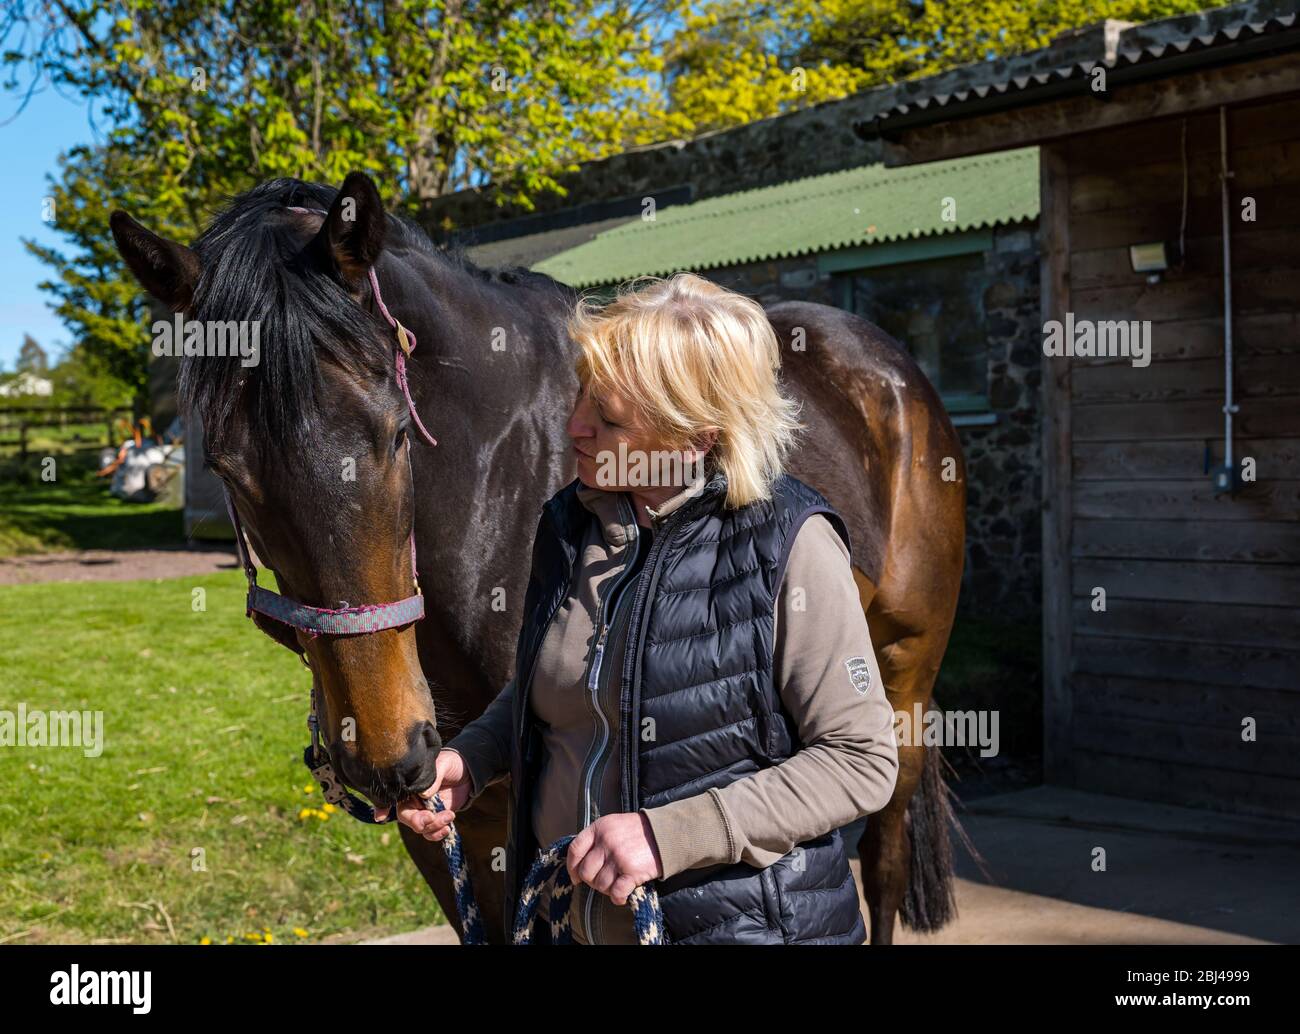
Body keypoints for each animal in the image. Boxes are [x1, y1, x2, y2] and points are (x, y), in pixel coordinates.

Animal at [111, 171, 967, 946]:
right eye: (228, 469)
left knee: (883, 857)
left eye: (396, 435)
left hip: (903, 682)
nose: (389, 753)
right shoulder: (452, 821)